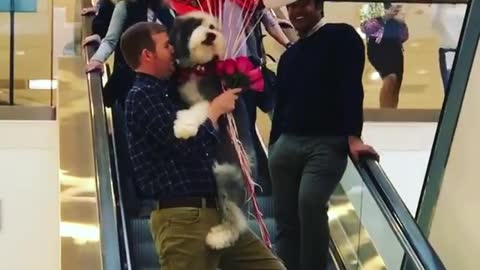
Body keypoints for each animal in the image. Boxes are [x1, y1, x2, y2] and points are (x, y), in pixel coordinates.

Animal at [168, 12, 255, 249]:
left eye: (213, 27)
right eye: (195, 25)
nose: (210, 35)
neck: (198, 68)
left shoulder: (213, 98)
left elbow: (200, 109)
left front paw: (184, 127)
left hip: (225, 173)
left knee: (236, 215)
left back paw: (220, 236)